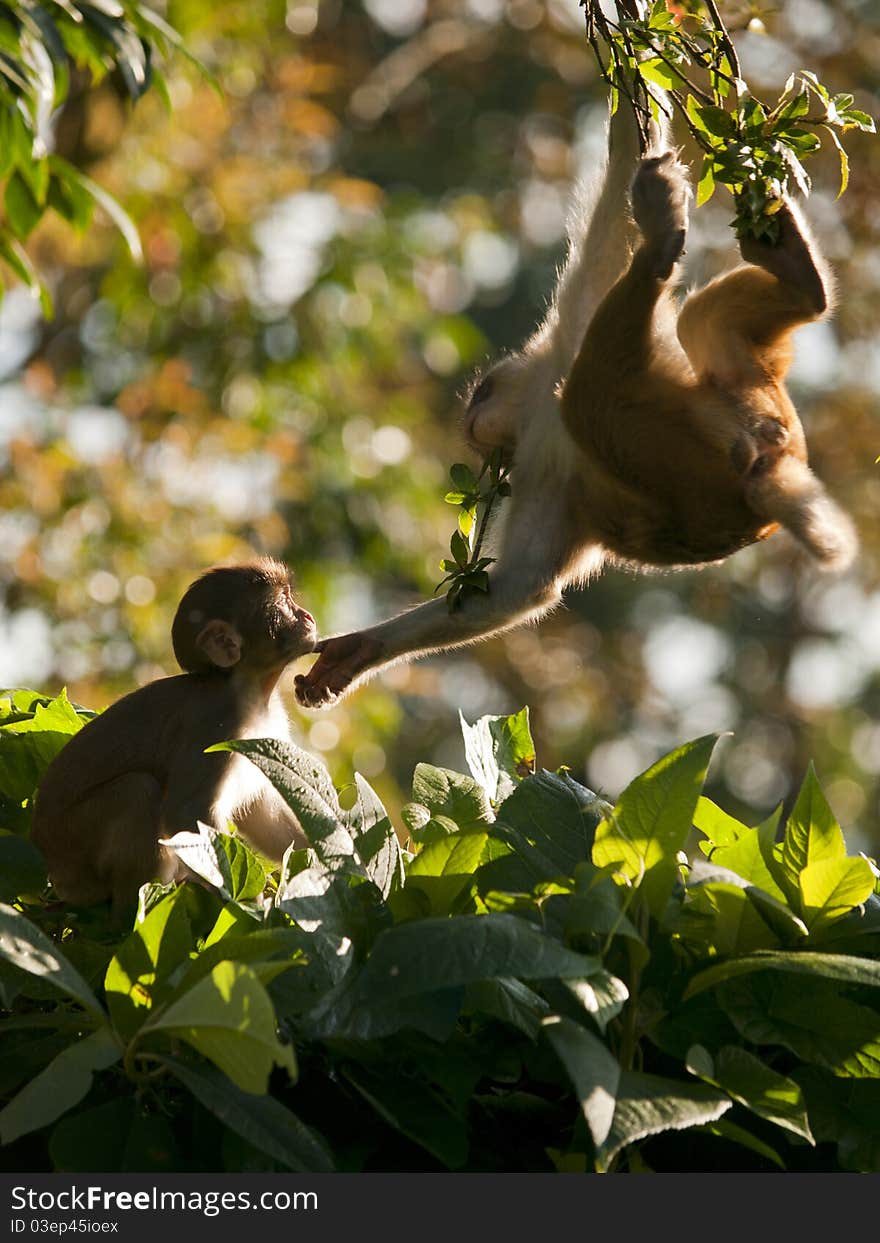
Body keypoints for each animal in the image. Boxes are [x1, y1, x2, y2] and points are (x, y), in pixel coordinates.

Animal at [32, 561, 318, 914]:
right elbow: (186, 813)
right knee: (137, 789)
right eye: (283, 603)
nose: (306, 616)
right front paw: (252, 904)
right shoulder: (218, 723)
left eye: (289, 597)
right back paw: (132, 909)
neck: (248, 688)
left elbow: (262, 815)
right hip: (76, 848)